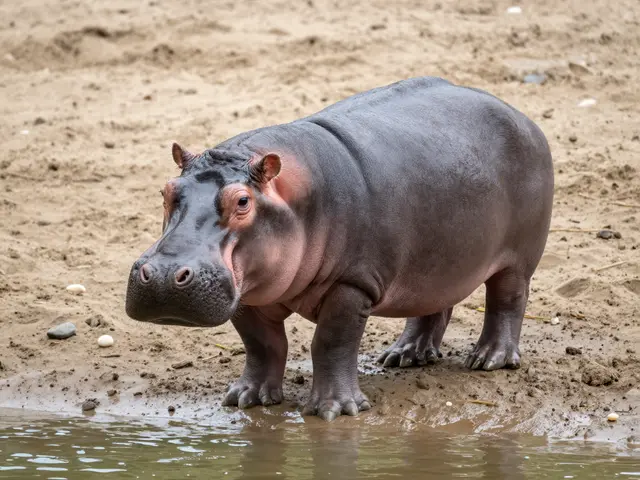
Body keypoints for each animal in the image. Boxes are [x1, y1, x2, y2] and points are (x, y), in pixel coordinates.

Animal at [125, 76, 554, 422]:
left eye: (242, 201)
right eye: (166, 191)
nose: (163, 275)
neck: (293, 195)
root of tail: (521, 116)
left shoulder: (352, 284)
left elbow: (331, 342)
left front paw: (333, 411)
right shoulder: (247, 292)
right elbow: (262, 344)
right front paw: (247, 397)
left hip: (517, 260)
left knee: (507, 301)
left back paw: (489, 360)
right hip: (437, 260)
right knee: (434, 305)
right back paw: (405, 354)